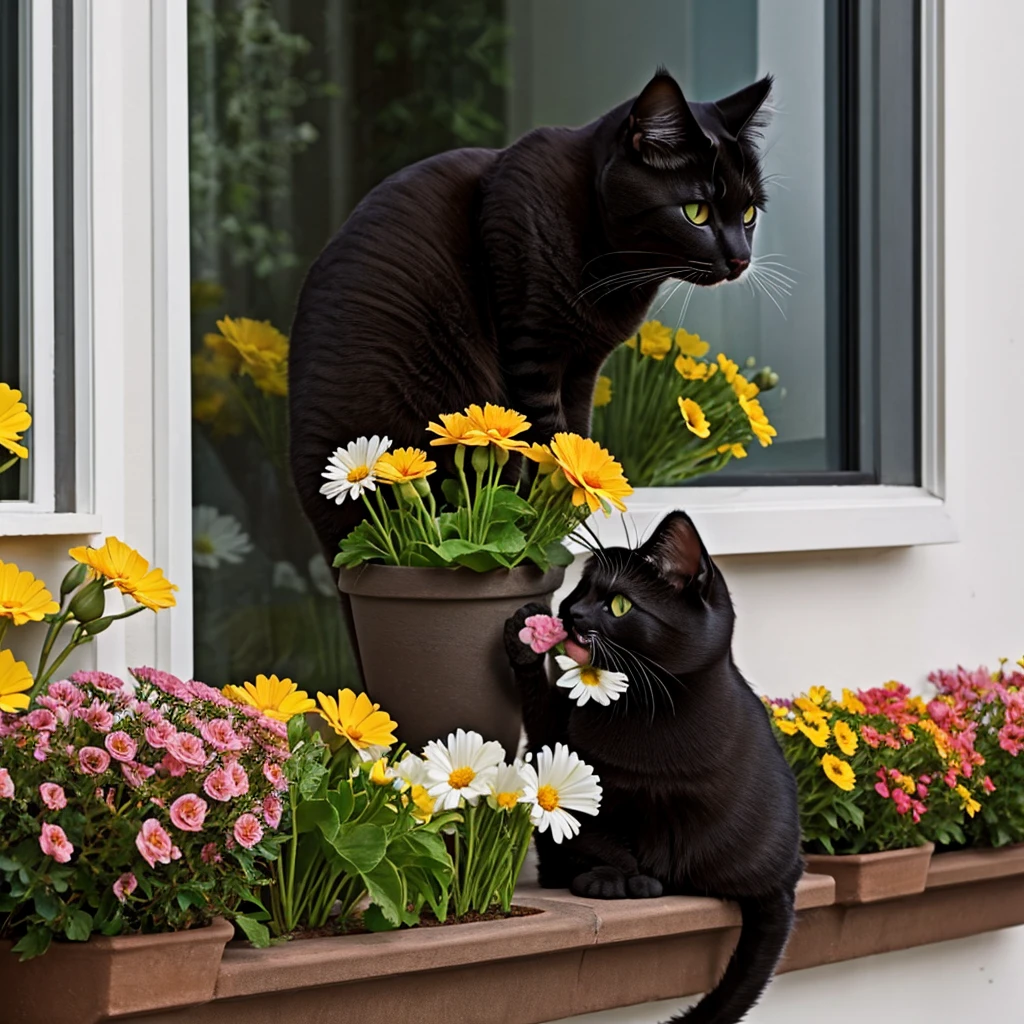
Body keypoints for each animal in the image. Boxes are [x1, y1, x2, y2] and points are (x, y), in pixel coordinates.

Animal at [288, 68, 770, 565]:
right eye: (696, 212)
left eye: (749, 212)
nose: (741, 258)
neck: (612, 266)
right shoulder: (533, 352)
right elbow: (550, 439)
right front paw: (551, 513)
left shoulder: (583, 367)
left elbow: (575, 436)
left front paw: (571, 507)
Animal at [503, 512, 798, 1024]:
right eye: (580, 588)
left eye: (619, 604)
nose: (570, 614)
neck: (642, 710)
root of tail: (779, 881)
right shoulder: (564, 755)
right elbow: (596, 833)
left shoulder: (661, 803)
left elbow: (631, 845)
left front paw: (620, 880)